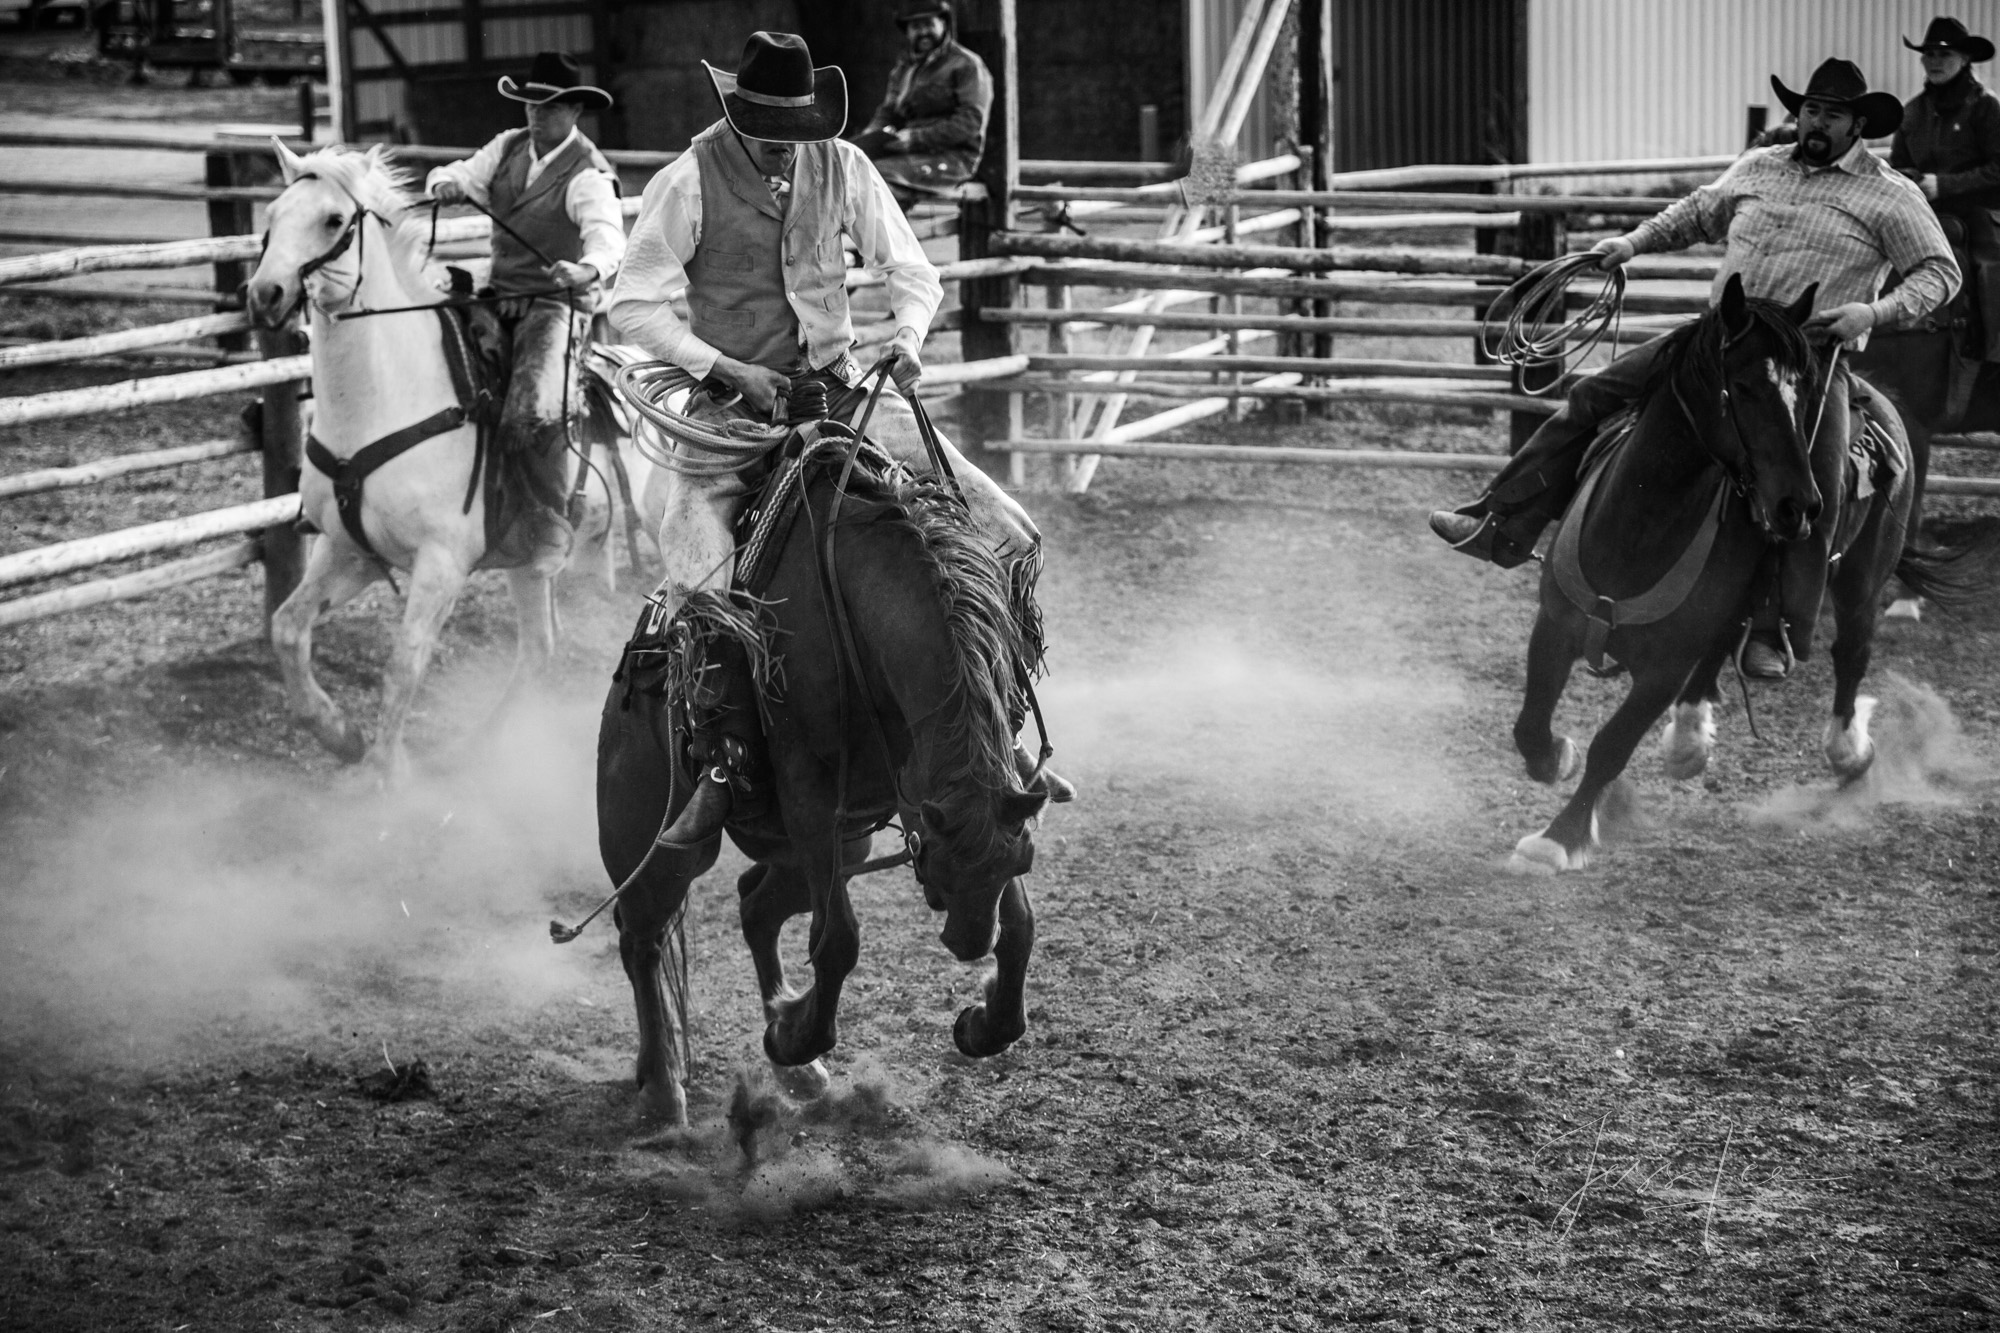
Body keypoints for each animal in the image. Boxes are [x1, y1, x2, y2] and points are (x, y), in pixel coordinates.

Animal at [241, 147, 648, 784]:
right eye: (273, 214)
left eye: (333, 220)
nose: (265, 294)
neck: (384, 401)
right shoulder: (348, 548)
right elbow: (287, 628)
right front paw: (338, 735)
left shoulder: (442, 563)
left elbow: (404, 663)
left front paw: (384, 771)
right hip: (529, 567)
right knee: (538, 650)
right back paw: (478, 747)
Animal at [584, 418, 1048, 1120]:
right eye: (939, 866)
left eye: (1016, 863)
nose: (966, 941)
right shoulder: (811, 798)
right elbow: (838, 941)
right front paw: (794, 1036)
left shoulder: (944, 800)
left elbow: (1019, 926)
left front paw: (984, 1024)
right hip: (655, 842)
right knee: (643, 937)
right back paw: (665, 1086)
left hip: (835, 844)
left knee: (754, 906)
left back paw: (787, 1068)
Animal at [1512, 274, 1984, 868]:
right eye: (1742, 386)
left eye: (1805, 392)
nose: (1800, 505)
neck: (1637, 530)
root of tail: (1876, 396)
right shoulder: (1554, 626)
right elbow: (1531, 724)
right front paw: (1557, 759)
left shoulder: (1664, 668)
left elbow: (1611, 746)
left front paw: (1560, 837)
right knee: (1728, 641)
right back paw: (1688, 742)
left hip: (1862, 576)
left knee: (1850, 652)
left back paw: (1849, 752)